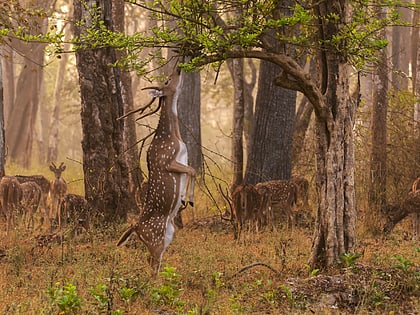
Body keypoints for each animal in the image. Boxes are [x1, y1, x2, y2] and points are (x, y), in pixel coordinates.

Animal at [117, 69, 196, 274]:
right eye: (167, 81)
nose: (179, 69)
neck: (174, 136)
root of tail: (135, 227)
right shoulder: (166, 161)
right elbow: (192, 170)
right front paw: (189, 199)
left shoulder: (182, 159)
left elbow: (191, 171)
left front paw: (184, 198)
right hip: (155, 238)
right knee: (152, 263)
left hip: (168, 235)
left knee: (151, 261)